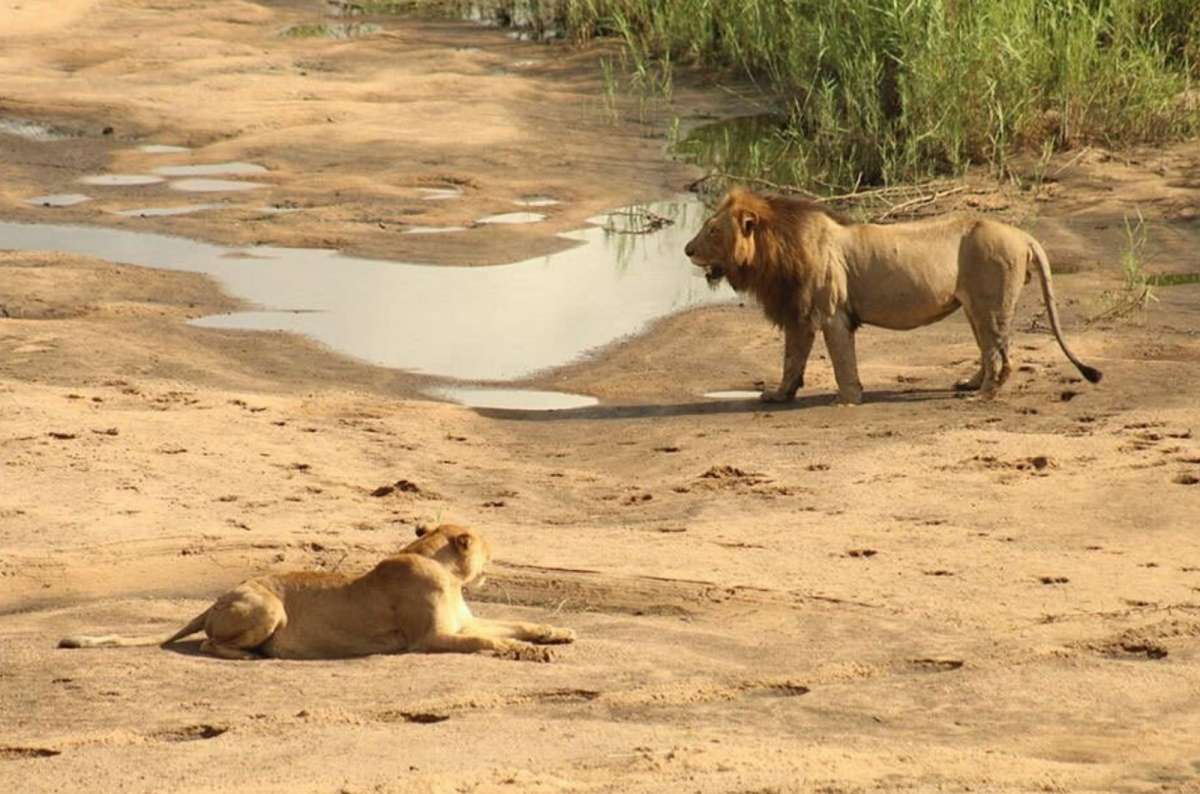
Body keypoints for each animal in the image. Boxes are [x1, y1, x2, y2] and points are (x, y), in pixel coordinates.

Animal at [58, 524, 575, 662]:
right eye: (486, 546)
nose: (497, 555)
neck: (440, 567)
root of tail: (216, 598)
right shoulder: (430, 639)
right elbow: (490, 640)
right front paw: (533, 653)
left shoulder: (463, 621)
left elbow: (517, 623)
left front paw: (559, 633)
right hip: (268, 609)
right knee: (208, 643)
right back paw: (255, 656)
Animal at [685, 187, 1102, 403]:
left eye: (713, 231)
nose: (687, 250)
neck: (775, 250)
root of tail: (1023, 235)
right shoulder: (799, 313)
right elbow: (791, 360)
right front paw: (778, 396)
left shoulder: (831, 312)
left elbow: (842, 362)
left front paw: (848, 399)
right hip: (973, 308)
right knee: (987, 350)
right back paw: (968, 384)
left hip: (992, 304)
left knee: (1002, 353)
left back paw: (982, 395)